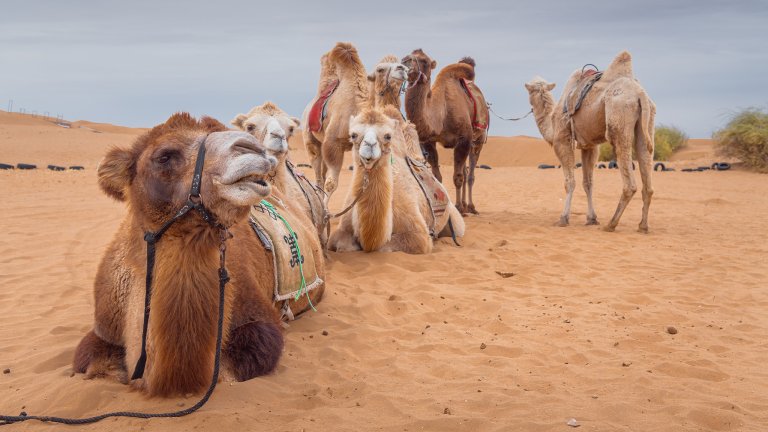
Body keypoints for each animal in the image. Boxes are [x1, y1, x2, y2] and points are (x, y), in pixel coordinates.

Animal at [328, 106, 465, 254]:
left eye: (388, 136)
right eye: (353, 135)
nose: (369, 145)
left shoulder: (419, 235)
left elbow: (383, 248)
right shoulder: (342, 228)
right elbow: (339, 244)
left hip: (454, 220)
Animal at [402, 49, 489, 215]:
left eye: (425, 61)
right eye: (404, 58)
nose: (404, 62)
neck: (442, 113)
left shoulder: (464, 139)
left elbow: (458, 177)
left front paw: (459, 208)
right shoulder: (429, 142)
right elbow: (438, 177)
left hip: (478, 139)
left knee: (470, 175)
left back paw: (471, 207)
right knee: (466, 172)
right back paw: (466, 206)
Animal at [524, 51, 656, 232]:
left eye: (529, 92)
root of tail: (640, 94)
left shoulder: (562, 141)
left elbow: (569, 182)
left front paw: (563, 219)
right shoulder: (590, 146)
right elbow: (588, 183)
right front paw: (591, 218)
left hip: (619, 116)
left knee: (629, 181)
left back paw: (611, 224)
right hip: (647, 121)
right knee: (646, 169)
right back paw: (642, 226)